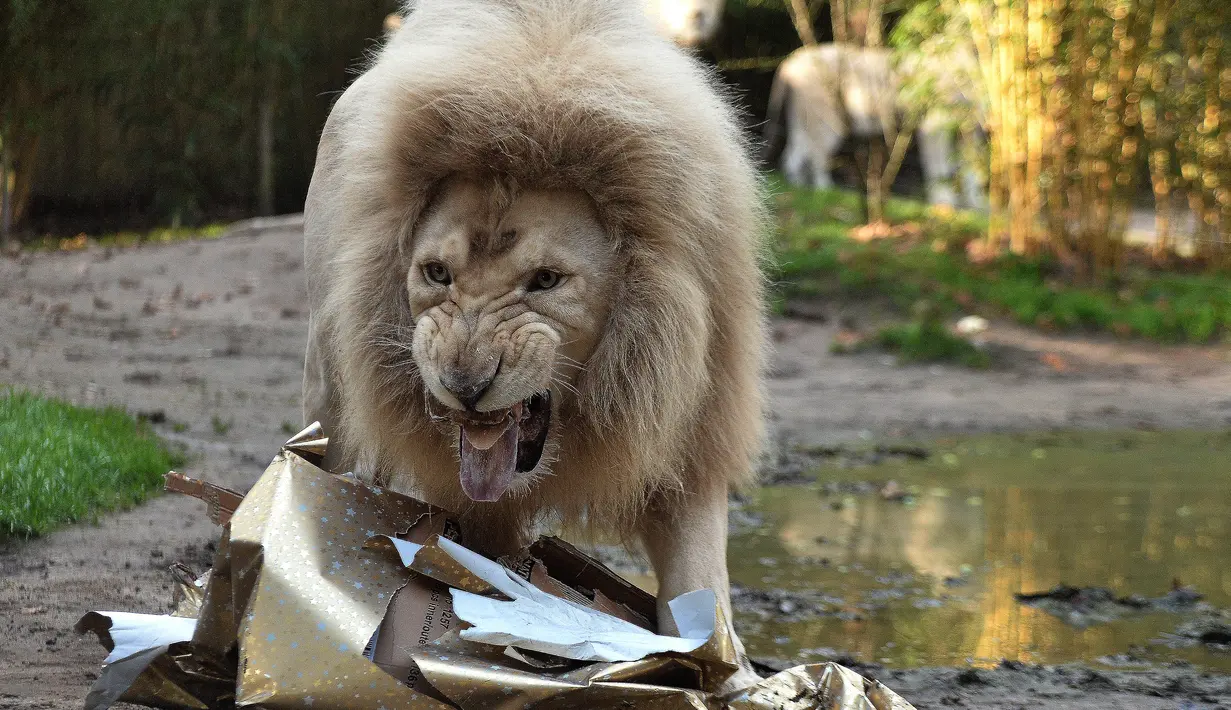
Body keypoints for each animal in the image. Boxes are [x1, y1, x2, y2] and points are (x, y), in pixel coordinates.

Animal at [763, 42, 984, 207]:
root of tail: (790, 61)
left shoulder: (968, 126)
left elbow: (970, 167)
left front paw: (975, 204)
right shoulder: (935, 123)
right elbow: (939, 166)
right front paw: (944, 203)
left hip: (803, 119)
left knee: (794, 154)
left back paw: (801, 188)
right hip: (826, 119)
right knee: (816, 155)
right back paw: (824, 190)